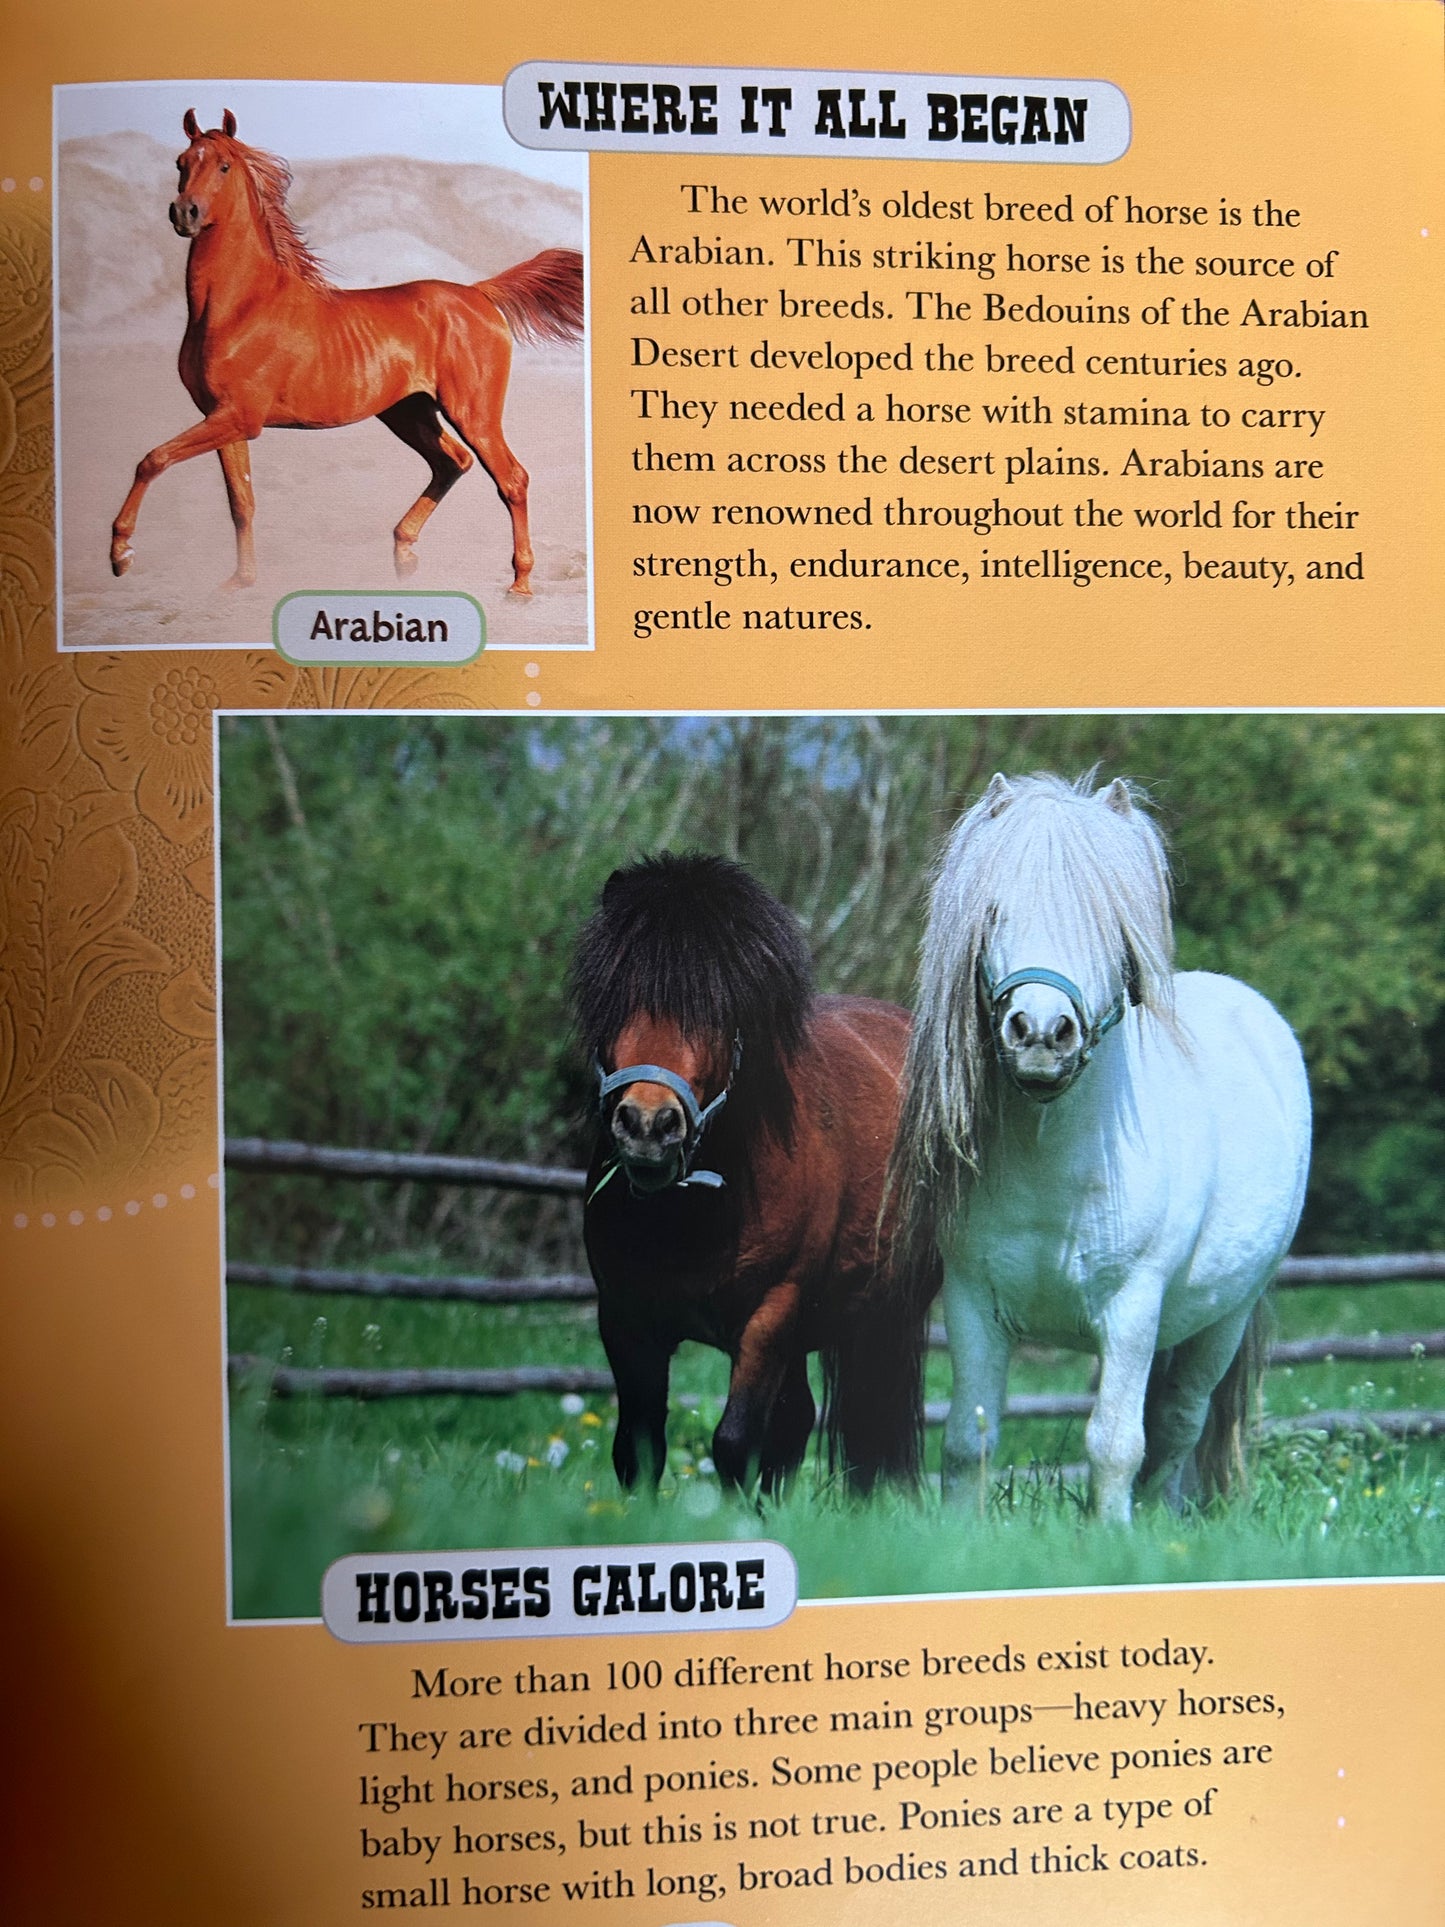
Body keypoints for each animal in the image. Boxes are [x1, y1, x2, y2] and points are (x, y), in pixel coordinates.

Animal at [110, 110, 584, 593]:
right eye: (181, 162)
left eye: (223, 166)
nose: (184, 212)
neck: (239, 306)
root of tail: (478, 293)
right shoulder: (223, 418)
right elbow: (240, 502)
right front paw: (240, 582)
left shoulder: (239, 417)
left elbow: (152, 460)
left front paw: (121, 555)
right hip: (408, 411)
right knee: (452, 462)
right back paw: (404, 555)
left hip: (473, 412)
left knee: (511, 479)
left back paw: (519, 585)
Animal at [571, 852, 938, 1499]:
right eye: (618, 995)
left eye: (717, 1012)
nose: (648, 1125)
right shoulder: (625, 1319)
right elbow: (638, 1447)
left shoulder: (770, 1317)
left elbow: (735, 1442)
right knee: (798, 1423)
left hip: (882, 1316)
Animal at [890, 772, 1311, 1525]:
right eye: (993, 913)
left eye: (1105, 922)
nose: (1040, 1032)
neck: (1053, 1163)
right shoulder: (972, 1304)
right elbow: (969, 1438)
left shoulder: (1132, 1310)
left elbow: (1115, 1442)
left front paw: (1111, 1537)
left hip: (1221, 1321)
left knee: (1176, 1423)